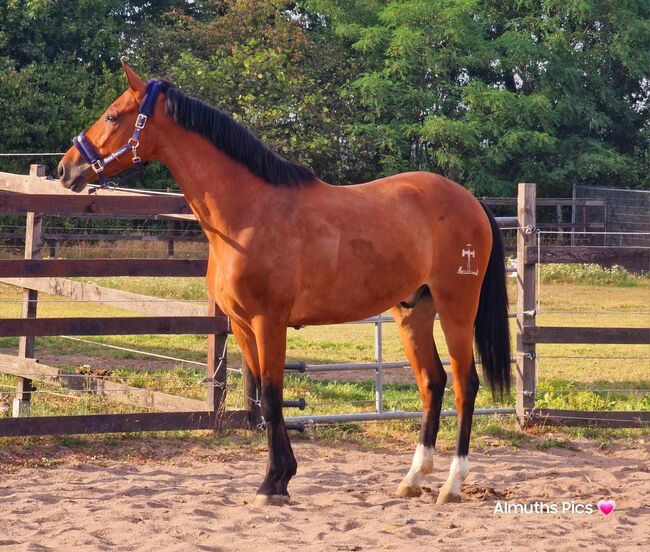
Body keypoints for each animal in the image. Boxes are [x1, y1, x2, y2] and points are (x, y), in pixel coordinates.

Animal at [58, 62, 508, 506]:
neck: (249, 213)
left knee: (466, 384)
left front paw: (272, 481)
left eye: (112, 116)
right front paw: (280, 477)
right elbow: (261, 396)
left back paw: (452, 484)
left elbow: (274, 396)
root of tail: (471, 200)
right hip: (413, 310)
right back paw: (413, 478)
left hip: (456, 308)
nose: (66, 168)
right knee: (433, 382)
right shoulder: (241, 325)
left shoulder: (268, 321)